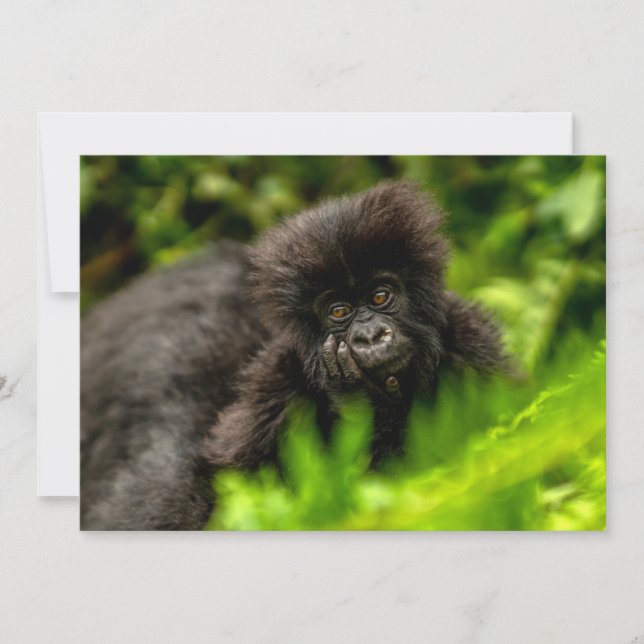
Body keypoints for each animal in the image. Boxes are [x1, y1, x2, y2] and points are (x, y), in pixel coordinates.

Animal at [80, 180, 507, 530]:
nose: (370, 336)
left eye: (380, 297)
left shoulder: (473, 343)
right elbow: (219, 481)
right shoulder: (273, 388)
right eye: (339, 311)